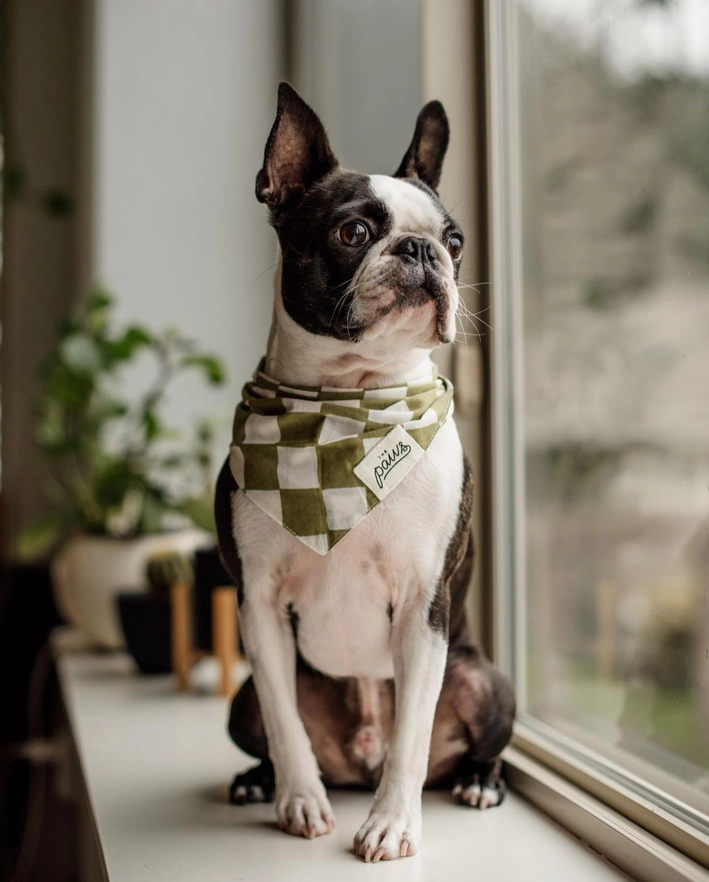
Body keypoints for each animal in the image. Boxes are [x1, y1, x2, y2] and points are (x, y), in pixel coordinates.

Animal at [216, 82, 516, 860]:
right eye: (353, 233)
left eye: (454, 241)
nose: (419, 250)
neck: (348, 406)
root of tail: (359, 758)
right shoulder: (258, 605)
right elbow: (284, 721)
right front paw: (298, 800)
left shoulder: (422, 604)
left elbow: (412, 732)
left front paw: (390, 825)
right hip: (239, 701)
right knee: (265, 724)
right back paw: (258, 782)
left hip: (485, 680)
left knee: (468, 744)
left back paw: (478, 782)